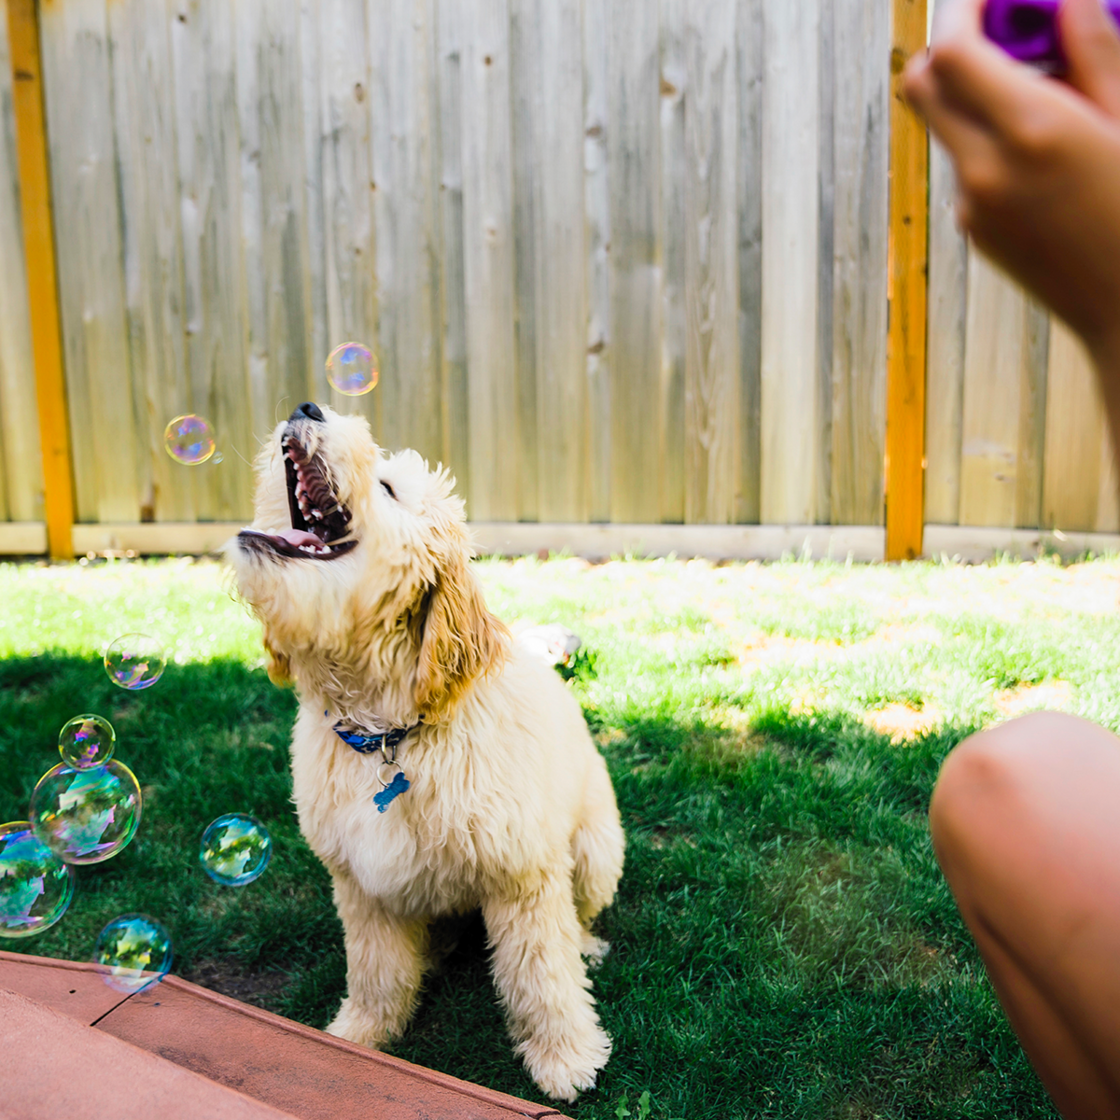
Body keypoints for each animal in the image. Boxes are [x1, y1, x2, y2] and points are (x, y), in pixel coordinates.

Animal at [225, 405, 622, 1102]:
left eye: (387, 489)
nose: (306, 408)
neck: (389, 731)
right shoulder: (361, 883)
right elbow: (377, 972)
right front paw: (360, 1036)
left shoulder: (523, 876)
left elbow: (542, 976)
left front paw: (566, 1058)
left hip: (597, 850)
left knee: (579, 917)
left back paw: (587, 945)